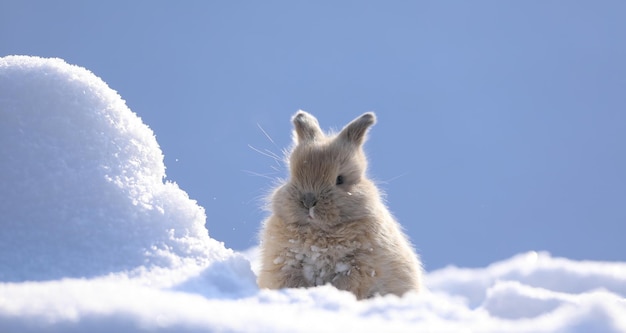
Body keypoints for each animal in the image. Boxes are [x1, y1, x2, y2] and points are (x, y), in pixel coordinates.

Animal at [256, 111, 422, 298]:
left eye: (340, 179)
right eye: (292, 176)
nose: (308, 202)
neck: (317, 231)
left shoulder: (360, 266)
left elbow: (348, 283)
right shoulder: (285, 262)